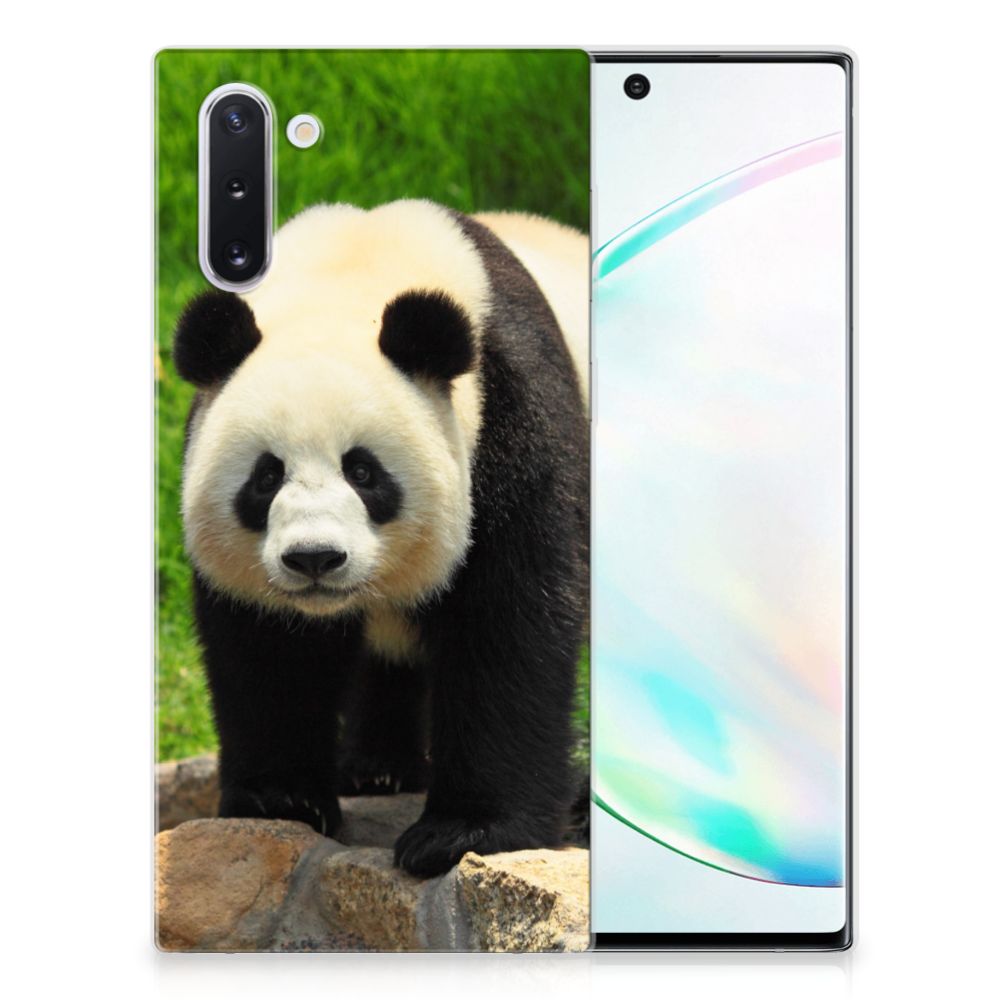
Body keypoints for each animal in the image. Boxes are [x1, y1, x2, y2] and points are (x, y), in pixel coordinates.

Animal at [173, 199, 589, 877]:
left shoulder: (512, 421)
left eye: (363, 472)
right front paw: (280, 799)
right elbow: (269, 648)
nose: (314, 558)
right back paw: (376, 769)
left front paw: (464, 832)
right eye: (266, 476)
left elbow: (510, 622)